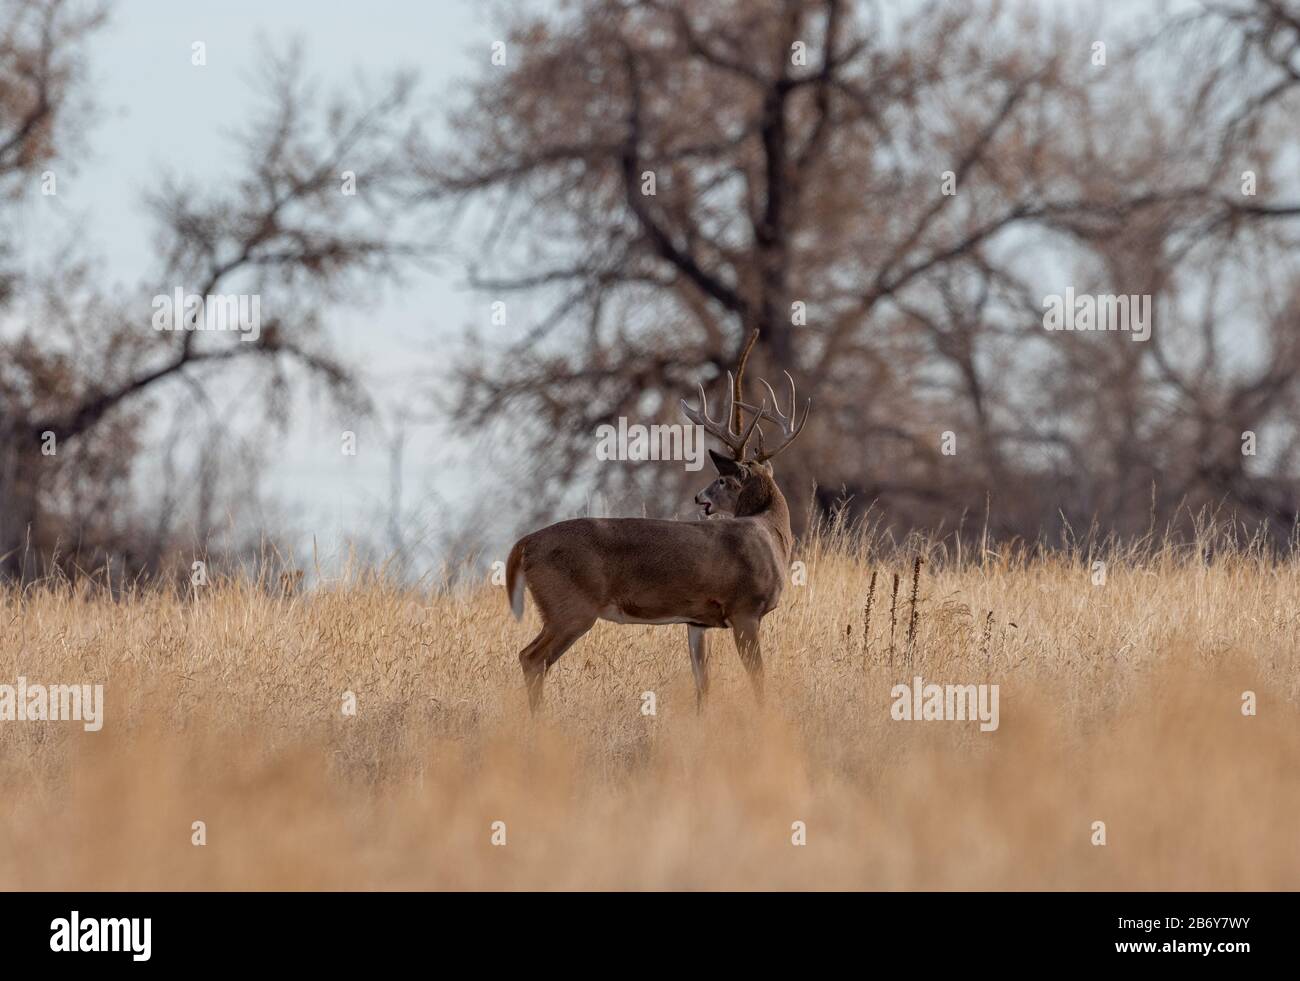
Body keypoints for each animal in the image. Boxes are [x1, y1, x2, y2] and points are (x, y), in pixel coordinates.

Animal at [503, 330, 811, 713]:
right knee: (532, 658)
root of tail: (525, 543)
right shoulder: (745, 609)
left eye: (721, 481)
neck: (771, 534)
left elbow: (703, 684)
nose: (699, 498)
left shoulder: (698, 620)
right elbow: (758, 681)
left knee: (530, 658)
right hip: (570, 607)